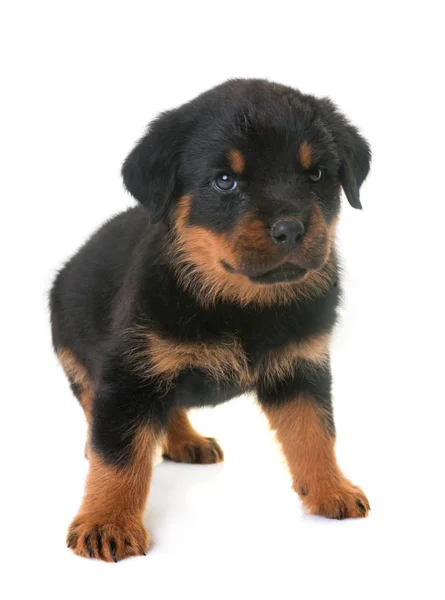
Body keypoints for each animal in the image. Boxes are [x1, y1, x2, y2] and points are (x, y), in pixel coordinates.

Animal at [50, 78, 372, 564]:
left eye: (316, 175)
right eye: (225, 180)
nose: (291, 229)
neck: (239, 303)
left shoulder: (301, 367)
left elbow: (315, 433)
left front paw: (331, 489)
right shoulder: (127, 377)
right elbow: (119, 457)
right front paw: (107, 523)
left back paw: (187, 440)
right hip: (79, 359)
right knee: (97, 413)